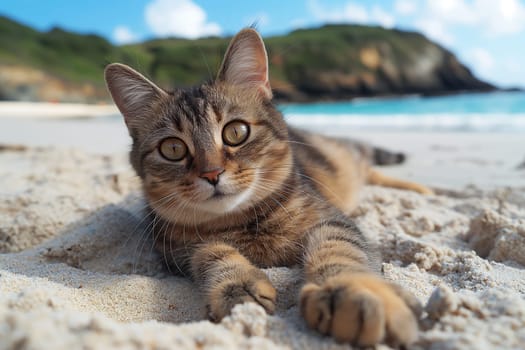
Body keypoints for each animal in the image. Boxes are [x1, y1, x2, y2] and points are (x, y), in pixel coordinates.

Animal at [104, 28, 432, 346]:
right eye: (172, 149)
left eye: (236, 132)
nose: (212, 173)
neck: (241, 222)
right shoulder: (177, 251)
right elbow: (212, 252)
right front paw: (237, 285)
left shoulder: (331, 218)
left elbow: (339, 248)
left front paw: (354, 290)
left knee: (371, 168)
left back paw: (421, 189)